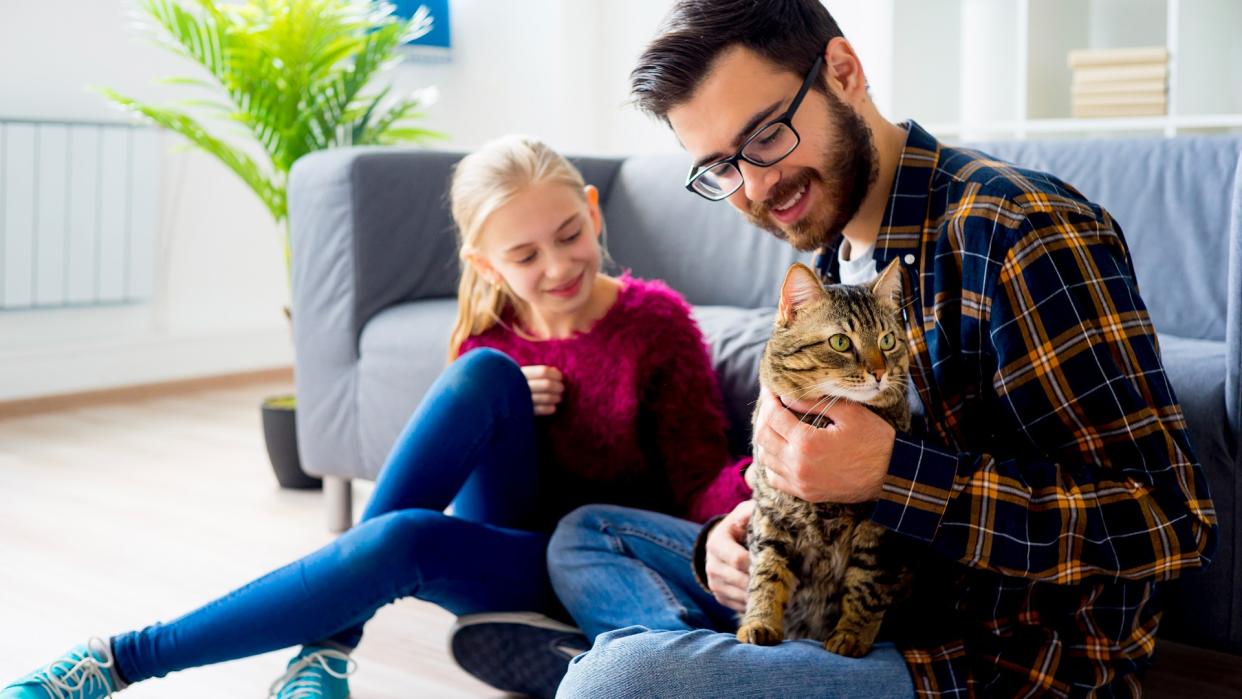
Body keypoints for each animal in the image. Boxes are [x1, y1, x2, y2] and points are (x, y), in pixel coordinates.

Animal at [735, 259, 914, 660]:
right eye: (841, 342)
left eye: (888, 340)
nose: (879, 373)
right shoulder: (769, 513)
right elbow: (766, 572)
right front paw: (758, 622)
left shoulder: (877, 530)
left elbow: (866, 586)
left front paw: (850, 636)